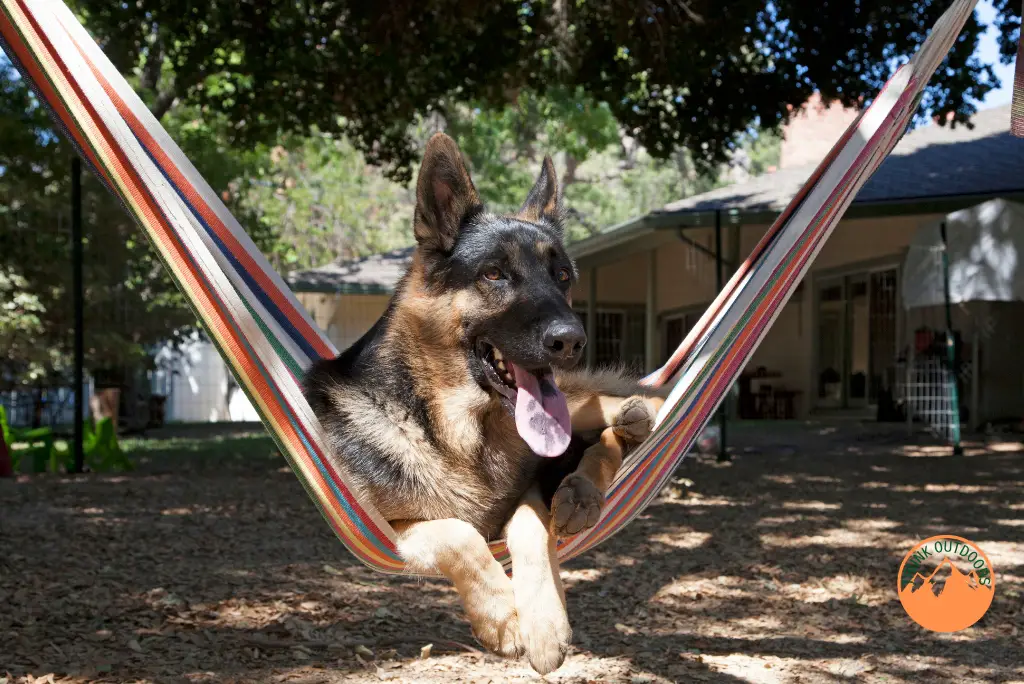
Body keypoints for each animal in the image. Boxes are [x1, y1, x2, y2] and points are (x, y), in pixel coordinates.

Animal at [301, 133, 671, 671]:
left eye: (562, 276)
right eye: (494, 274)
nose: (572, 340)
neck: (460, 431)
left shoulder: (528, 492)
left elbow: (531, 528)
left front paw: (544, 625)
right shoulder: (394, 527)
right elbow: (460, 533)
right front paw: (504, 617)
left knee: (601, 413)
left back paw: (623, 434)